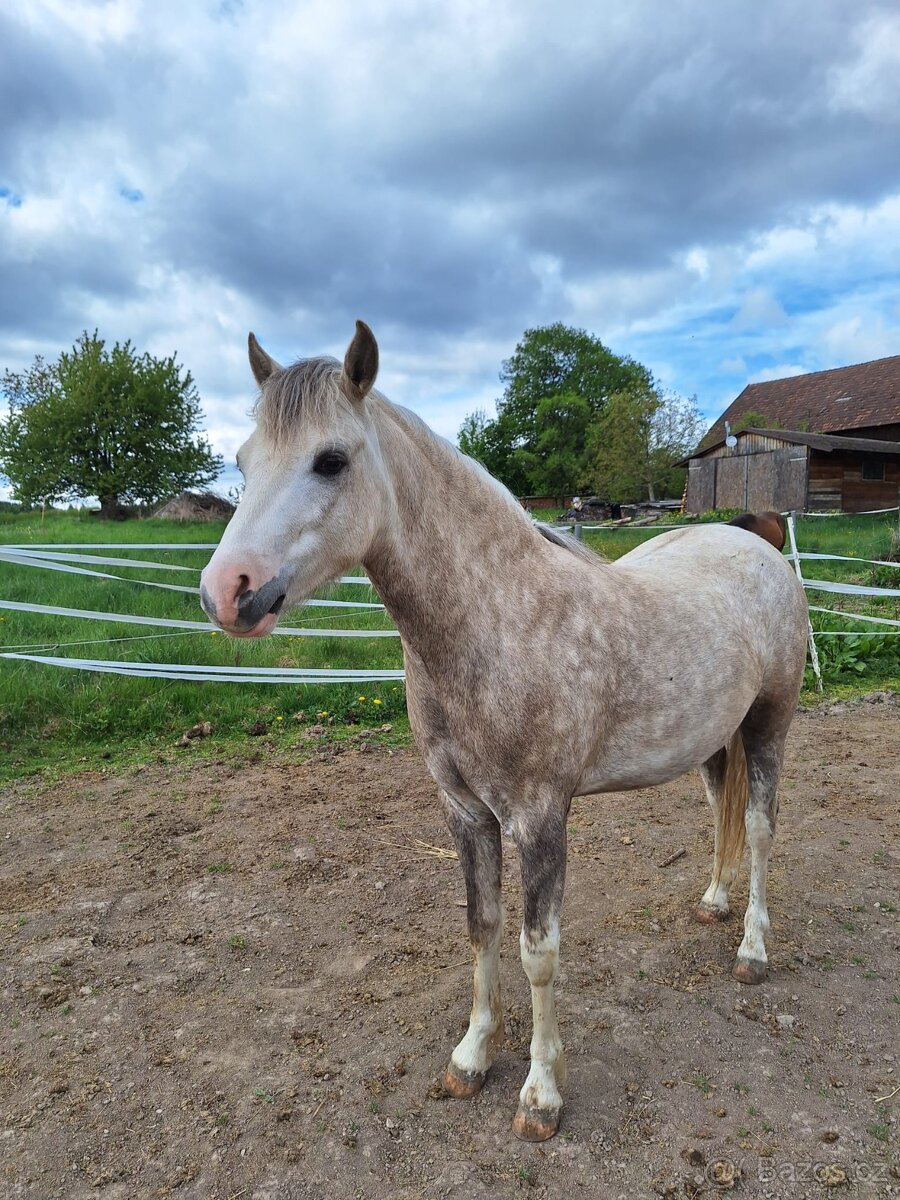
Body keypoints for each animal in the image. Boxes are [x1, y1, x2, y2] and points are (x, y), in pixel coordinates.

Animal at [200, 322, 809, 1142]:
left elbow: (538, 953)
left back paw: (751, 949)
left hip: (770, 721)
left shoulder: (541, 818)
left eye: (330, 459)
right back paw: (713, 902)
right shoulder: (465, 814)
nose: (225, 591)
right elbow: (481, 927)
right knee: (723, 810)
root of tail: (757, 545)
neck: (498, 622)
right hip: (716, 737)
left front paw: (540, 1096)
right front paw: (470, 1059)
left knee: (764, 826)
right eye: (241, 461)